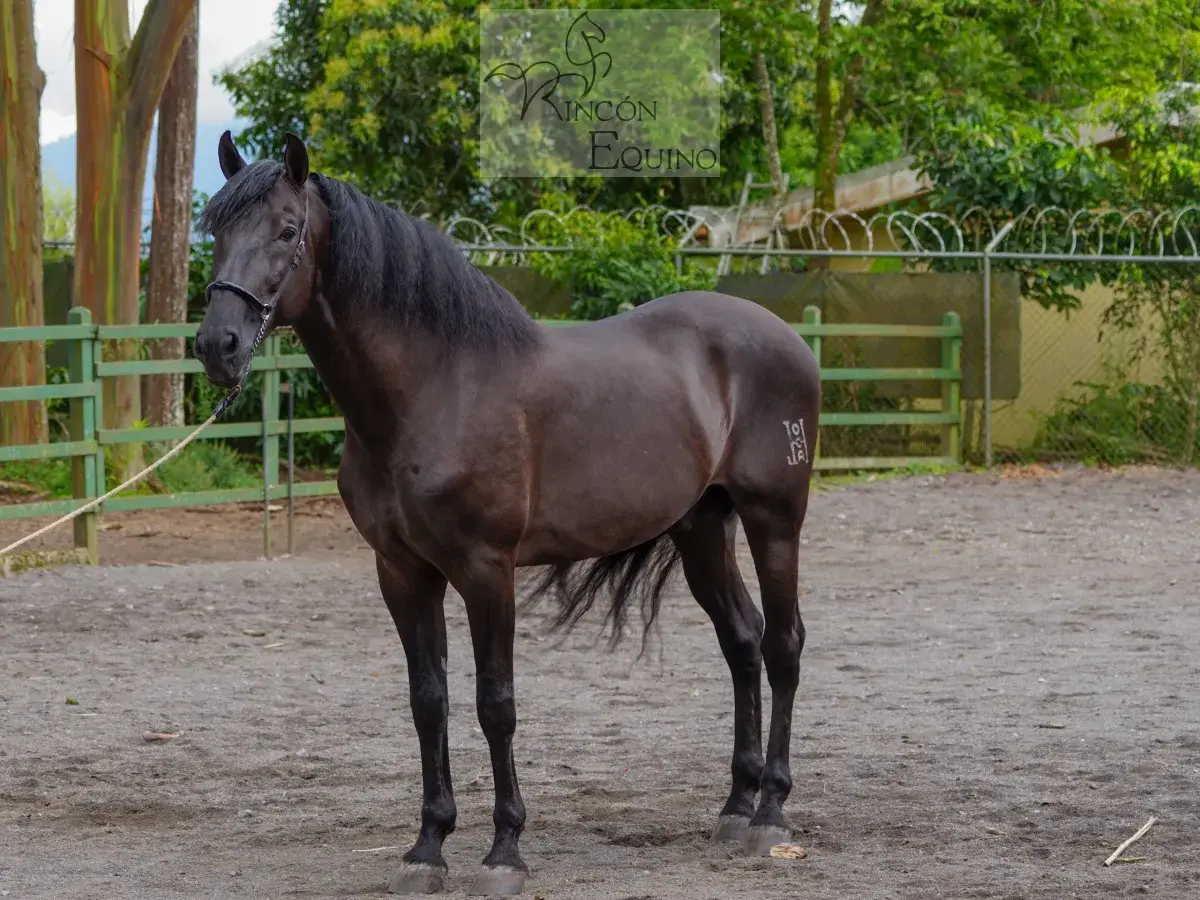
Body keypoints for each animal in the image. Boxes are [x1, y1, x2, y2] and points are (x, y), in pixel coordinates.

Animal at [193, 131, 820, 896]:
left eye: (287, 230)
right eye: (217, 231)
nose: (217, 346)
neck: (436, 389)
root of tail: (786, 337)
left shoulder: (487, 569)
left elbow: (496, 703)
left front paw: (504, 851)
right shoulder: (402, 572)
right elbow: (428, 699)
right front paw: (428, 846)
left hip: (774, 519)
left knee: (782, 644)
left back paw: (771, 813)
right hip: (702, 528)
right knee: (741, 641)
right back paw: (735, 806)